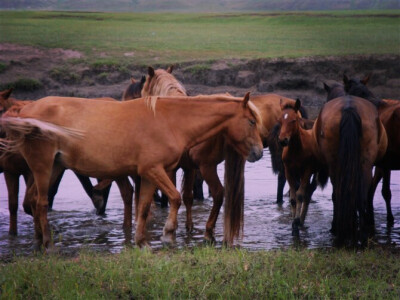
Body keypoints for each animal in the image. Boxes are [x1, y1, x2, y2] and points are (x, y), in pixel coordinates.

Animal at [0, 94, 264, 248]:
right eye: (251, 121)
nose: (259, 153)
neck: (169, 120)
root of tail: (25, 111)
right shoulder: (154, 170)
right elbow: (175, 198)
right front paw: (168, 233)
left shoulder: (149, 175)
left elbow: (144, 207)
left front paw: (141, 241)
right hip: (42, 166)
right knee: (42, 202)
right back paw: (47, 241)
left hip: (55, 167)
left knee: (33, 201)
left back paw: (38, 239)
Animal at [278, 98, 328, 237]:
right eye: (280, 120)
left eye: (293, 120)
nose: (283, 140)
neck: (296, 149)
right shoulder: (289, 171)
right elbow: (293, 198)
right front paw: (294, 224)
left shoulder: (307, 170)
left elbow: (299, 195)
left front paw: (296, 222)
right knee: (309, 191)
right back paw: (301, 220)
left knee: (309, 192)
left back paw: (301, 220)